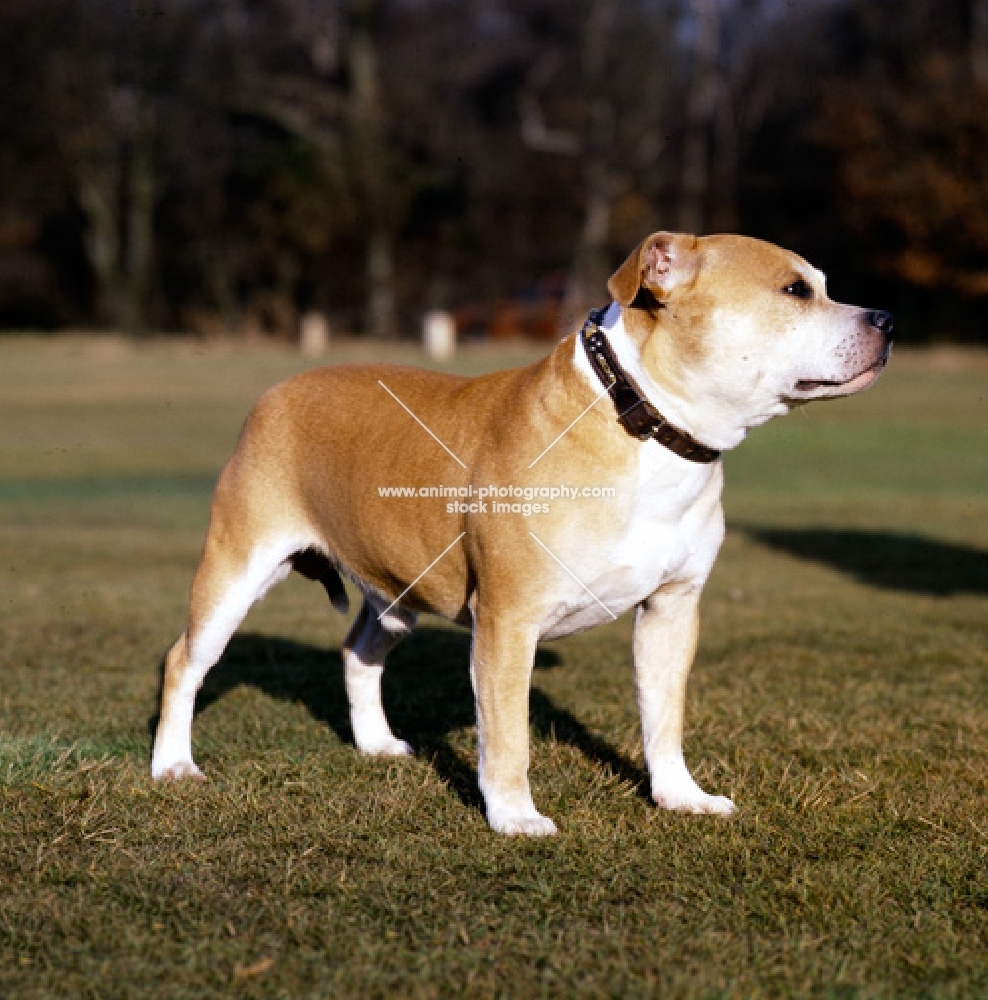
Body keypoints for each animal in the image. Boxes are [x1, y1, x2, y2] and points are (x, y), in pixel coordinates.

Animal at [151, 234, 892, 836]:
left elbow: (665, 718)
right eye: (794, 290)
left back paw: (376, 744)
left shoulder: (673, 609)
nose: (885, 318)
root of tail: (278, 390)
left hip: (398, 591)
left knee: (360, 648)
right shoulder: (508, 621)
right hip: (236, 566)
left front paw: (680, 796)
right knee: (185, 660)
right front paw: (514, 817)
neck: (641, 420)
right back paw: (173, 765)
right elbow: (507, 736)